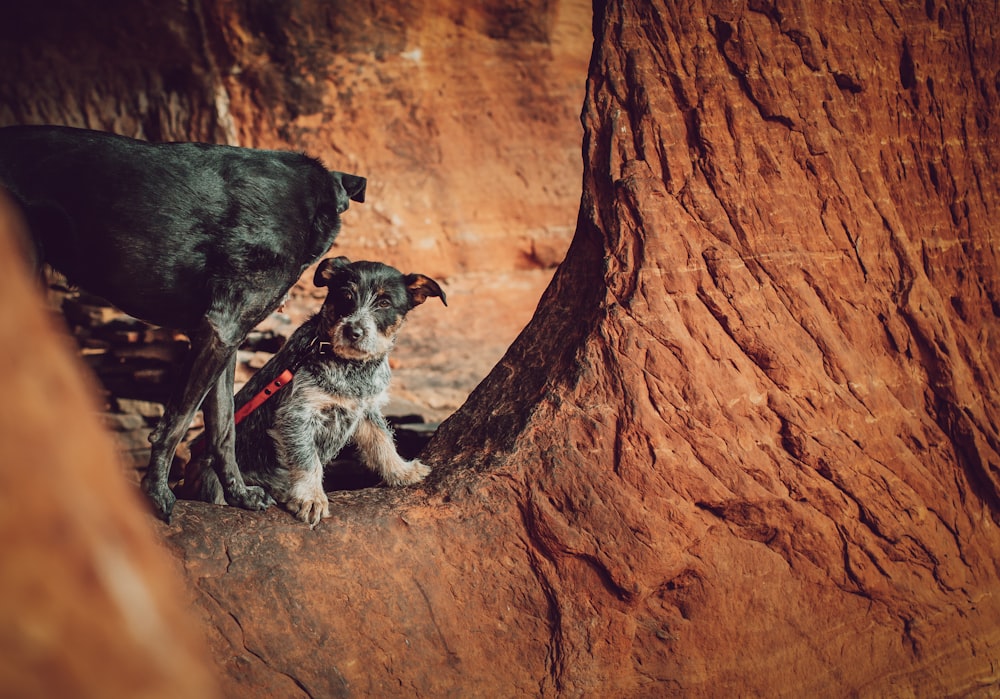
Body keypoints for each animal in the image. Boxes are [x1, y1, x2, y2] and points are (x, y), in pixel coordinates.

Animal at [0, 124, 368, 520]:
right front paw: (155, 494)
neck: (305, 198)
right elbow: (175, 423)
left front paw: (239, 495)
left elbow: (223, 428)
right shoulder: (220, 329)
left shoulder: (226, 338)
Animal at [185, 256, 450, 524]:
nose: (353, 332)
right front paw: (311, 498)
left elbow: (382, 441)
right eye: (345, 296)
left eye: (385, 303)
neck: (350, 366)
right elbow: (308, 460)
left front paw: (402, 471)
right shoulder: (298, 414)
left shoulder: (365, 411)